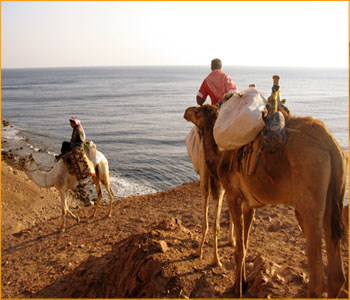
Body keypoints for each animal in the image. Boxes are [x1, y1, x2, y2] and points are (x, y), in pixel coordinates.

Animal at [185, 80, 348, 298]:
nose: (186, 111)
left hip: (309, 198)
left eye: (200, 110)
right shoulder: (249, 204)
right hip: (332, 200)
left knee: (317, 280)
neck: (220, 156)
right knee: (337, 275)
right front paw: (242, 283)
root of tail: (332, 145)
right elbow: (245, 245)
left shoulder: (233, 196)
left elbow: (238, 249)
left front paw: (237, 290)